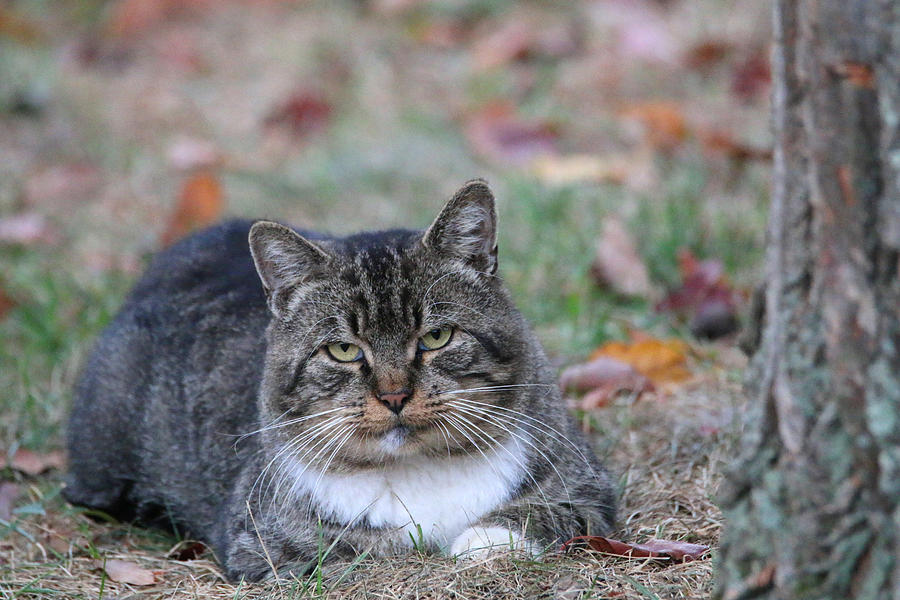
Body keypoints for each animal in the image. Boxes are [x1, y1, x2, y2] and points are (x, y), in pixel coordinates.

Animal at [63, 179, 616, 580]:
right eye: (343, 350)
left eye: (436, 337)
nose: (394, 395)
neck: (417, 470)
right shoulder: (263, 547)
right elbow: (361, 548)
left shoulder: (589, 487)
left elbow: (547, 512)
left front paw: (486, 543)